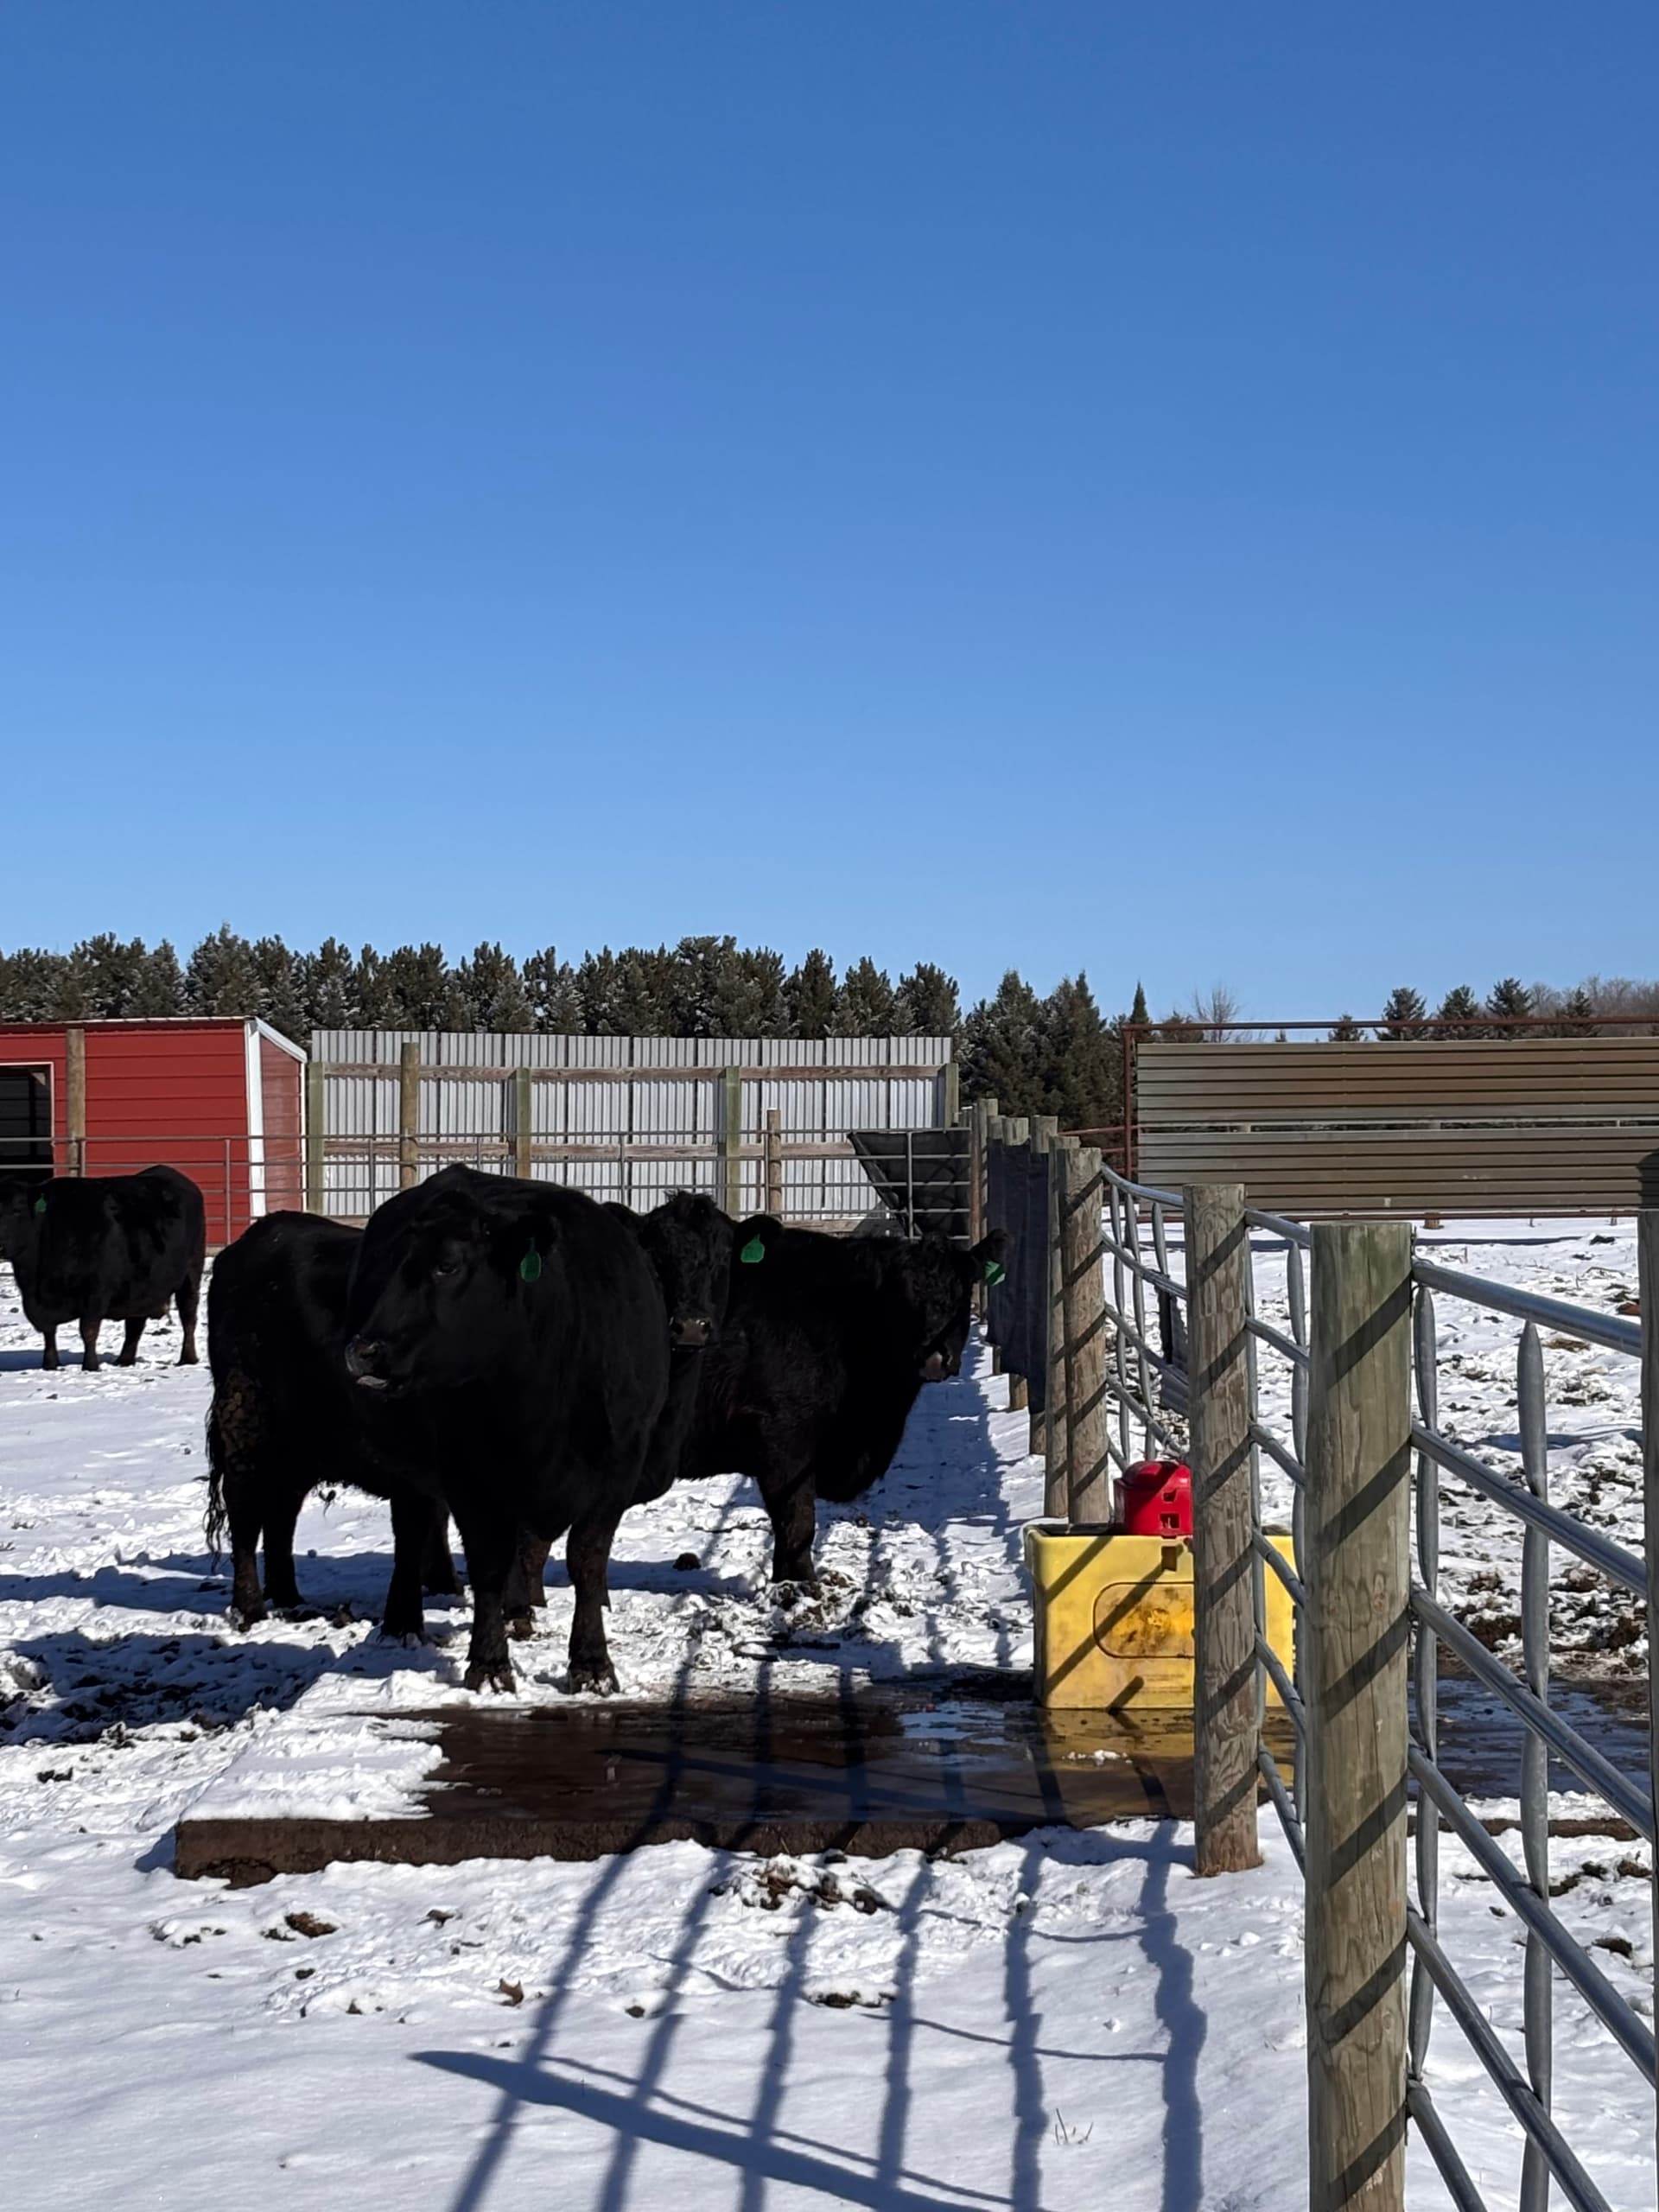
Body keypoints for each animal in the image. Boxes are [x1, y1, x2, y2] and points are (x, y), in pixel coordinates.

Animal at [0, 1165, 205, 1371]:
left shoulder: (96, 1291)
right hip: (142, 1286)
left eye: (17, 1210)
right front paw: (50, 1364)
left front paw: (90, 1366)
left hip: (191, 1274)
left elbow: (88, 1330)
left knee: (188, 1316)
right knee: (135, 1323)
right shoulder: (39, 1306)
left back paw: (188, 1358)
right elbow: (49, 1334)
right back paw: (124, 1360)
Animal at [204, 1212, 460, 1633]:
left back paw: (288, 1598)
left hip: (297, 1446)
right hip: (247, 1420)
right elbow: (412, 1529)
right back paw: (251, 1610)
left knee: (281, 1513)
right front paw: (404, 1625)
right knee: (246, 1511)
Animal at [343, 1165, 671, 1694]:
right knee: (410, 1530)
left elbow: (586, 1559)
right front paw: (490, 1664)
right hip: (409, 1466)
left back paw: (519, 1611)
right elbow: (488, 1562)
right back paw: (402, 1624)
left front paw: (592, 1663)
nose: (363, 1350)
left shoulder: (619, 1465)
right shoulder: (467, 1471)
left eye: (447, 1266)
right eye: (393, 1265)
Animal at [681, 1218, 1011, 1588]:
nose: (935, 1358)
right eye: (904, 1298)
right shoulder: (784, 1436)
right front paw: (802, 1586)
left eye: (964, 1291)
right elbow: (797, 1521)